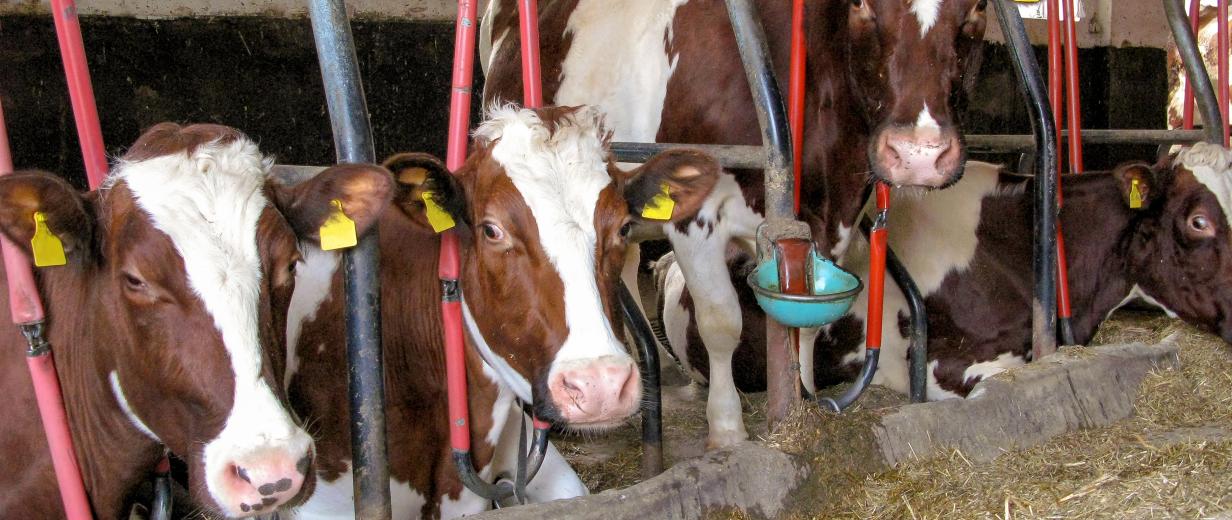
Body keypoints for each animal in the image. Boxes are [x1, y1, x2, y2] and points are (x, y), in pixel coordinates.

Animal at [479, 0, 990, 448]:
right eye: (862, 5)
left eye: (978, 8)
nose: (919, 154)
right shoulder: (696, 218)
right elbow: (720, 321)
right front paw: (727, 428)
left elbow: (804, 323)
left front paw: (802, 399)